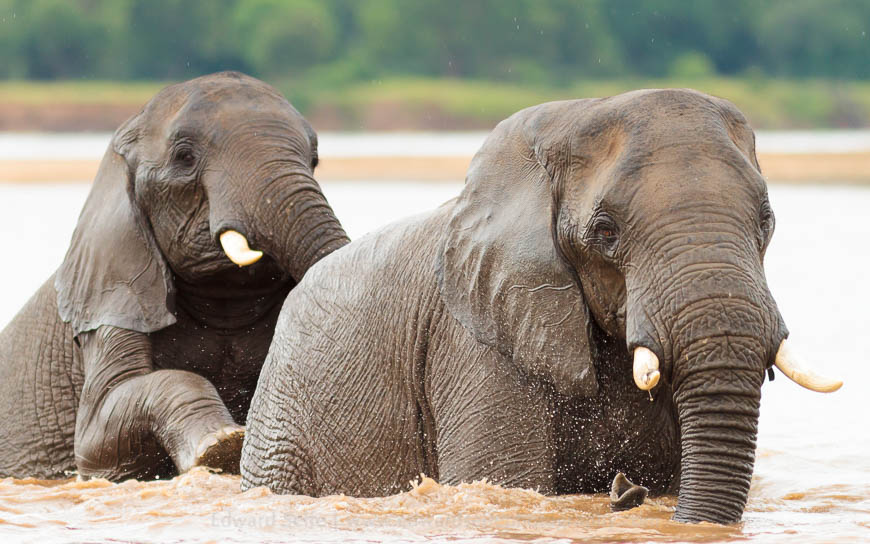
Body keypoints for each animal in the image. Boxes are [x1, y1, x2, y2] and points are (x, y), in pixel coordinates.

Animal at [239, 88, 841, 524]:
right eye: (605, 231)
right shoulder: (474, 343)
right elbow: (505, 479)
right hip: (281, 425)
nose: (625, 490)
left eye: (767, 219)